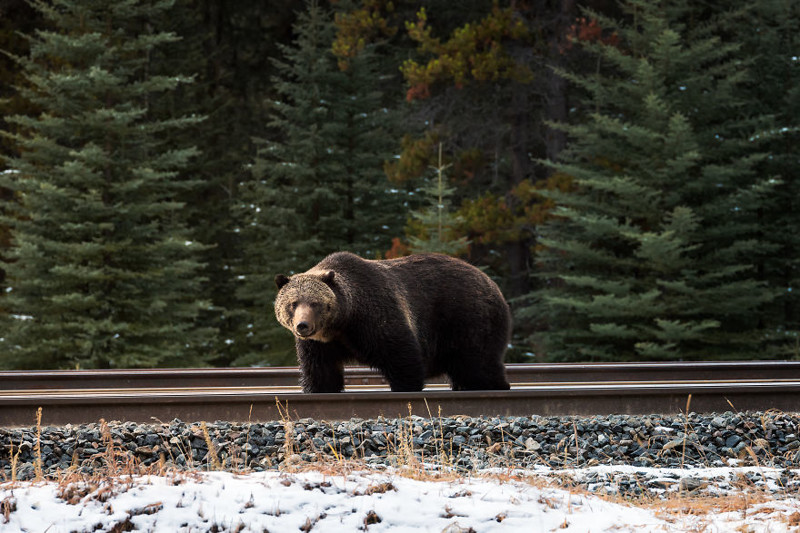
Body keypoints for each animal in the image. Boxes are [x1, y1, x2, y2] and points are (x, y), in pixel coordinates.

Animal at [276, 249, 512, 390]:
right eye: (293, 303)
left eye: (315, 303)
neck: (342, 323)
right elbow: (320, 372)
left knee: (479, 364)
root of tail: (493, 284)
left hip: (468, 320)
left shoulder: (375, 317)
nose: (303, 325)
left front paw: (406, 386)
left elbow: (401, 356)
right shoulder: (319, 344)